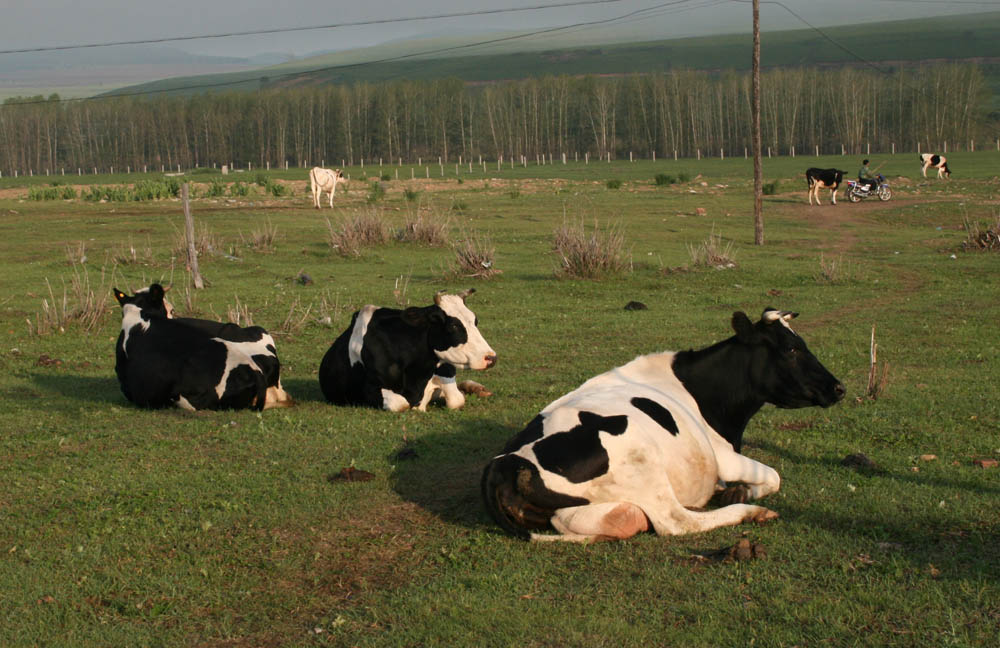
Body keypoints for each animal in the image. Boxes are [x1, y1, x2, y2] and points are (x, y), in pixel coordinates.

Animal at [316, 288, 496, 410]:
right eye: (453, 325)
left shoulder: (445, 369)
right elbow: (400, 403)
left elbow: (456, 399)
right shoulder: (369, 388)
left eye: (475, 320)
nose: (491, 358)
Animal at [482, 308, 844, 540]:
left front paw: (736, 489)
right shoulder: (723, 457)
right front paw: (742, 492)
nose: (839, 387)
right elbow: (773, 476)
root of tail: (504, 465)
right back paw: (750, 512)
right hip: (641, 458)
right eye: (792, 349)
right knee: (677, 522)